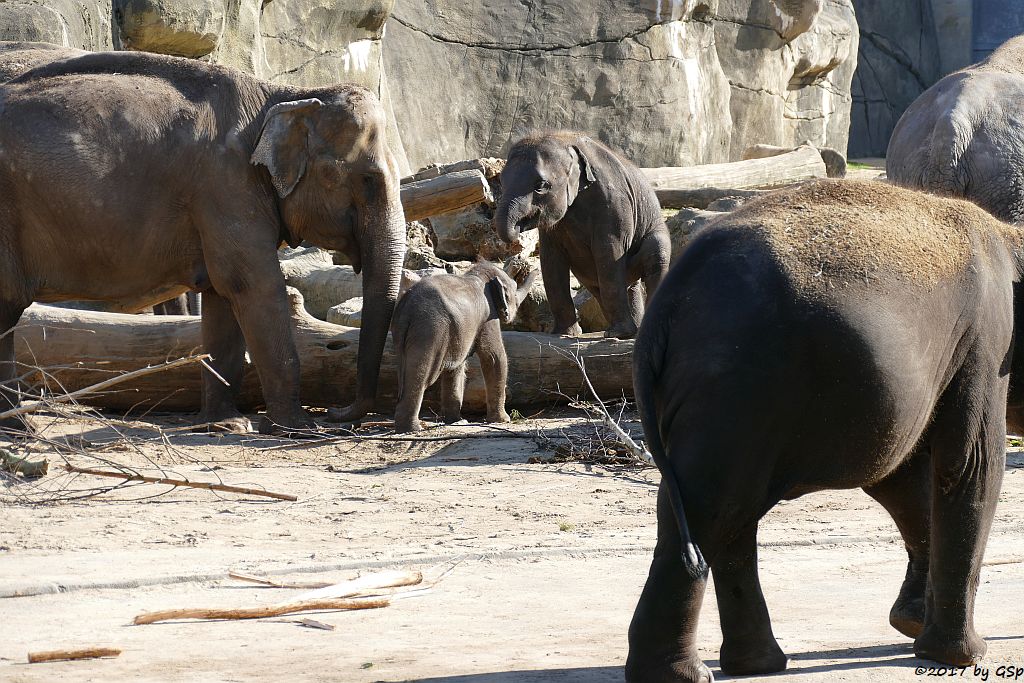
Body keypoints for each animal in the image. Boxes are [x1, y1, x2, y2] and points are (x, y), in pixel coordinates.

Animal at [0, 48, 407, 436]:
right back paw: (22, 429)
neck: (285, 96)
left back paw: (19, 429)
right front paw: (299, 429)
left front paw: (226, 425)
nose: (340, 415)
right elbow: (254, 285)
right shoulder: (225, 186)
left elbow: (221, 294)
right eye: (368, 179)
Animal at [389, 262, 536, 432]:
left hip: (403, 332)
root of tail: (407, 308)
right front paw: (503, 420)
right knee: (422, 374)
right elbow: (494, 358)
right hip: (429, 330)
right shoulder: (488, 316)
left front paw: (456, 421)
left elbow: (456, 368)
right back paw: (412, 428)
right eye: (513, 292)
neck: (478, 275)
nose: (533, 269)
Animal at [493, 130, 671, 339]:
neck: (565, 141)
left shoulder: (613, 201)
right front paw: (563, 333)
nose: (518, 260)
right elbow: (551, 260)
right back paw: (634, 331)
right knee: (614, 284)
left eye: (541, 185)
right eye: (501, 182)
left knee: (656, 255)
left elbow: (609, 253)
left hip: (656, 230)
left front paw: (616, 334)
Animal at [626, 181, 1019, 683]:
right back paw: (687, 674)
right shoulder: (987, 333)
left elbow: (900, 475)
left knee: (720, 510)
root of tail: (665, 303)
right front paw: (960, 657)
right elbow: (971, 464)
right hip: (739, 383)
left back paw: (756, 665)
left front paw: (911, 624)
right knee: (711, 507)